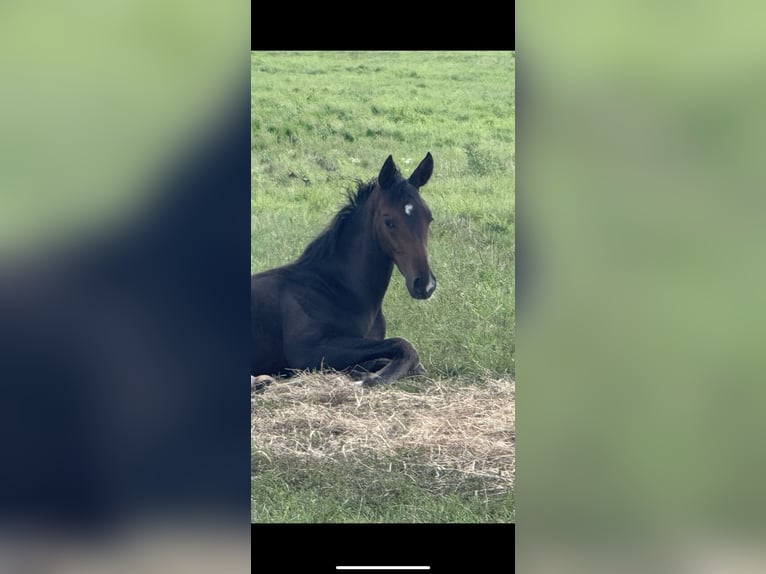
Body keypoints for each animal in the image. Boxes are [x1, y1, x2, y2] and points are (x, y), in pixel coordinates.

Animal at [251, 153, 437, 387]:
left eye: (429, 218)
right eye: (389, 221)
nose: (425, 285)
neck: (337, 288)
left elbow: (409, 362)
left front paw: (364, 373)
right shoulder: (306, 350)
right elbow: (403, 345)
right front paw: (371, 379)